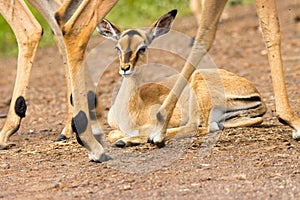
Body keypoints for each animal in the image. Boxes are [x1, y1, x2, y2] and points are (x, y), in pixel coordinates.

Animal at [95, 9, 264, 147]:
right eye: (117, 47)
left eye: (142, 48)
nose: (125, 68)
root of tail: (256, 94)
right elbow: (111, 133)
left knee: (197, 126)